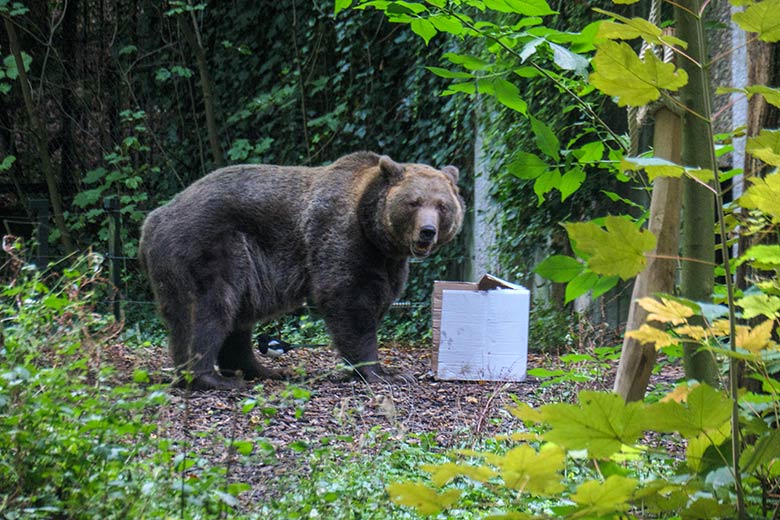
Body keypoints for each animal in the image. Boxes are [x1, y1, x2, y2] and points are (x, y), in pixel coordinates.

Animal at [139, 152, 464, 388]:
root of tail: (154, 219)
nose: (427, 231)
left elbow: (381, 298)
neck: (373, 232)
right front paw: (380, 372)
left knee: (236, 317)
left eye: (442, 205)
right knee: (210, 308)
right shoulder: (340, 239)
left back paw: (261, 370)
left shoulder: (387, 263)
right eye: (413, 202)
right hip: (209, 246)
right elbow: (349, 302)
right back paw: (212, 378)